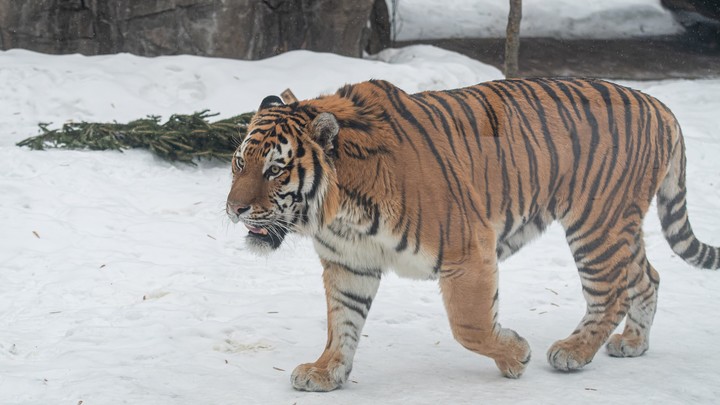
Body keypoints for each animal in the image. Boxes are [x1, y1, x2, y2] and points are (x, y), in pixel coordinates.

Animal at [225, 77, 720, 390]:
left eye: (275, 170)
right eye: (239, 163)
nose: (234, 209)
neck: (341, 211)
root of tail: (659, 105)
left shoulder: (468, 251)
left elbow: (470, 325)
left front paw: (515, 355)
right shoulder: (350, 263)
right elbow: (340, 323)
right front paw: (327, 372)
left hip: (597, 223)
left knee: (611, 291)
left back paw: (573, 351)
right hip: (617, 225)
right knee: (648, 276)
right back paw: (633, 343)